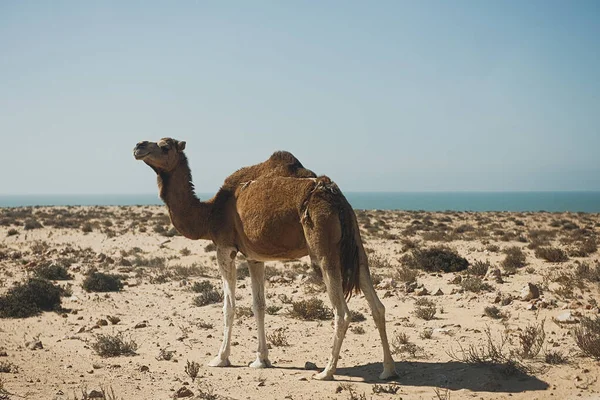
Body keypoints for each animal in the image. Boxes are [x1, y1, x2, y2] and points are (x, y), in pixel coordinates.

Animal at [133, 139, 396, 380]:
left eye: (165, 146)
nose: (138, 146)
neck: (209, 214)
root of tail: (336, 197)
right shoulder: (254, 257)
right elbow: (258, 305)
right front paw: (261, 360)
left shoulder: (224, 248)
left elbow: (229, 306)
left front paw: (221, 358)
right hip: (355, 245)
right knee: (377, 305)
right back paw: (387, 370)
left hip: (323, 245)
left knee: (342, 312)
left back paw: (327, 372)